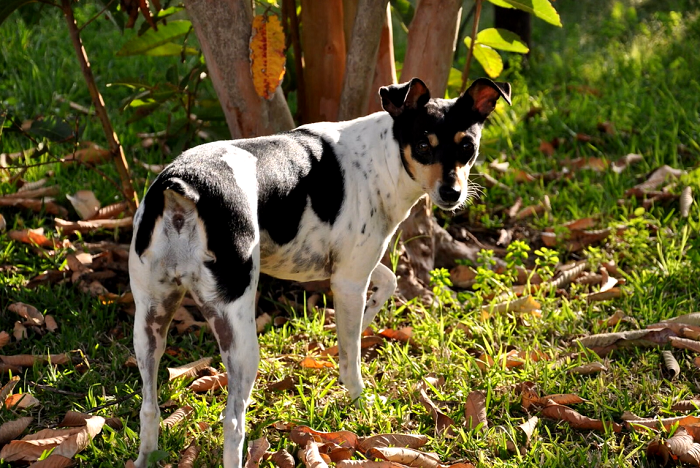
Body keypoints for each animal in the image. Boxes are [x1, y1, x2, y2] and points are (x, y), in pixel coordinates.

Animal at [130, 77, 508, 468]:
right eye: (422, 145)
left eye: (467, 146)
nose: (452, 193)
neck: (382, 157)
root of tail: (182, 187)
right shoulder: (349, 280)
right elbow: (351, 357)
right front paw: (359, 398)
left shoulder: (344, 269)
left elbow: (387, 282)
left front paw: (364, 319)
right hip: (238, 333)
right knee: (232, 420)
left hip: (150, 322)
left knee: (149, 408)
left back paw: (146, 457)